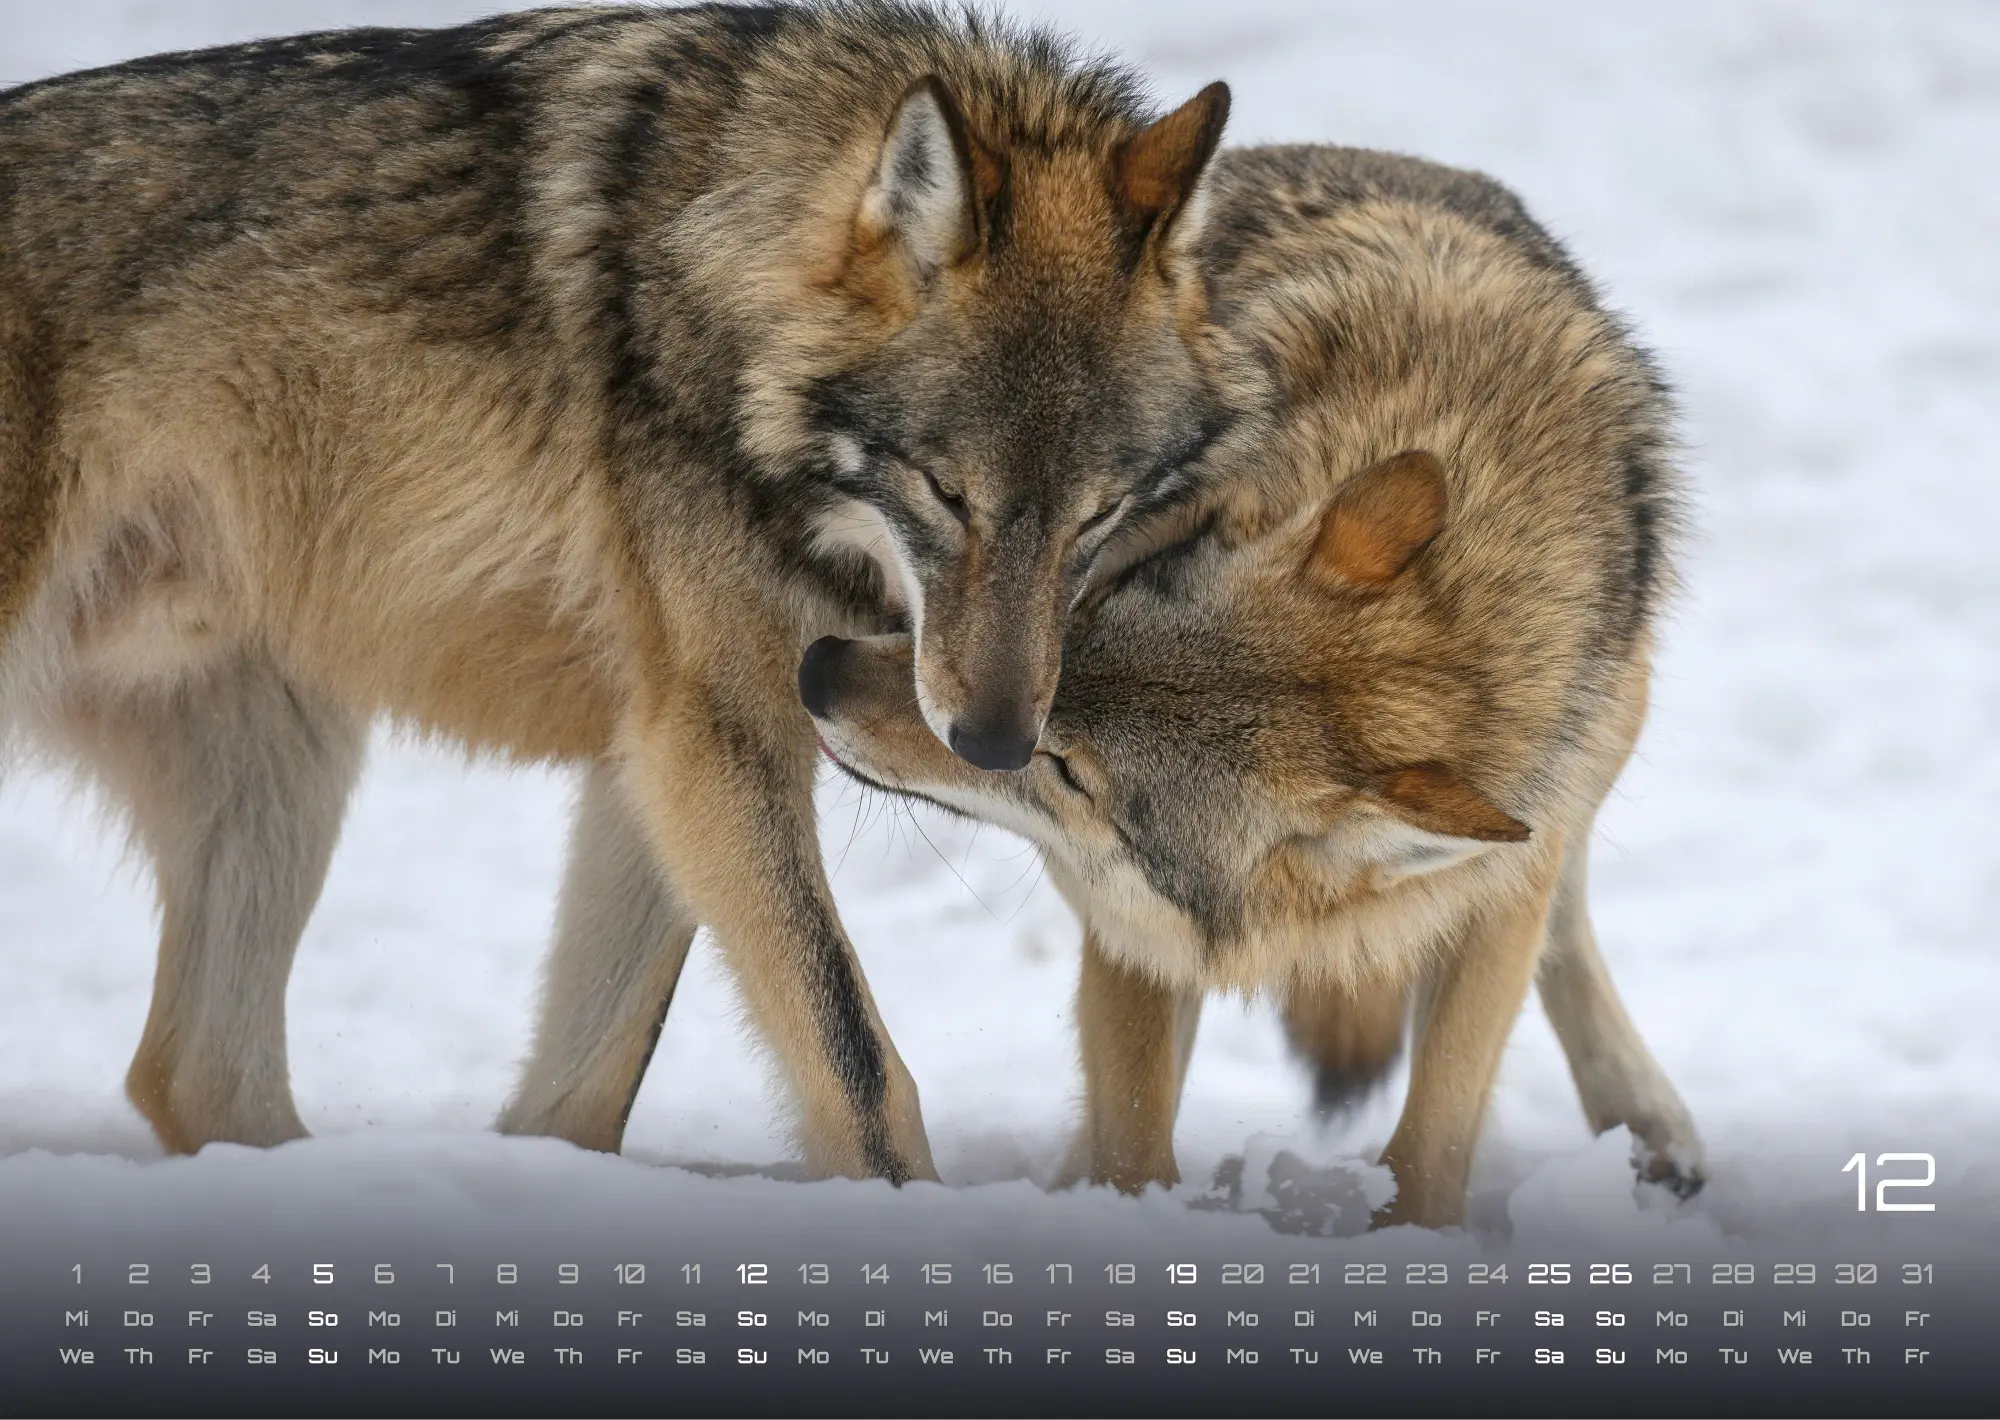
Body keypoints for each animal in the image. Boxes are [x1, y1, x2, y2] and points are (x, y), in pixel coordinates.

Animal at [0, 3, 1235, 1182]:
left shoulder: (665, 749)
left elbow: (587, 1088)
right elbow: (858, 1063)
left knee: (188, 1072)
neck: (716, 257)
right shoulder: (710, 737)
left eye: (1094, 515)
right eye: (947, 493)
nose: (993, 744)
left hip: (288, 762)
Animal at [798, 143, 1706, 1226]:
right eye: (1082, 614)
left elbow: (1435, 1130)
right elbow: (1131, 1142)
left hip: (1580, 779)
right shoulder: (1136, 932)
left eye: (1071, 772)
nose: (817, 668)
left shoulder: (1499, 877)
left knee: (1562, 918)